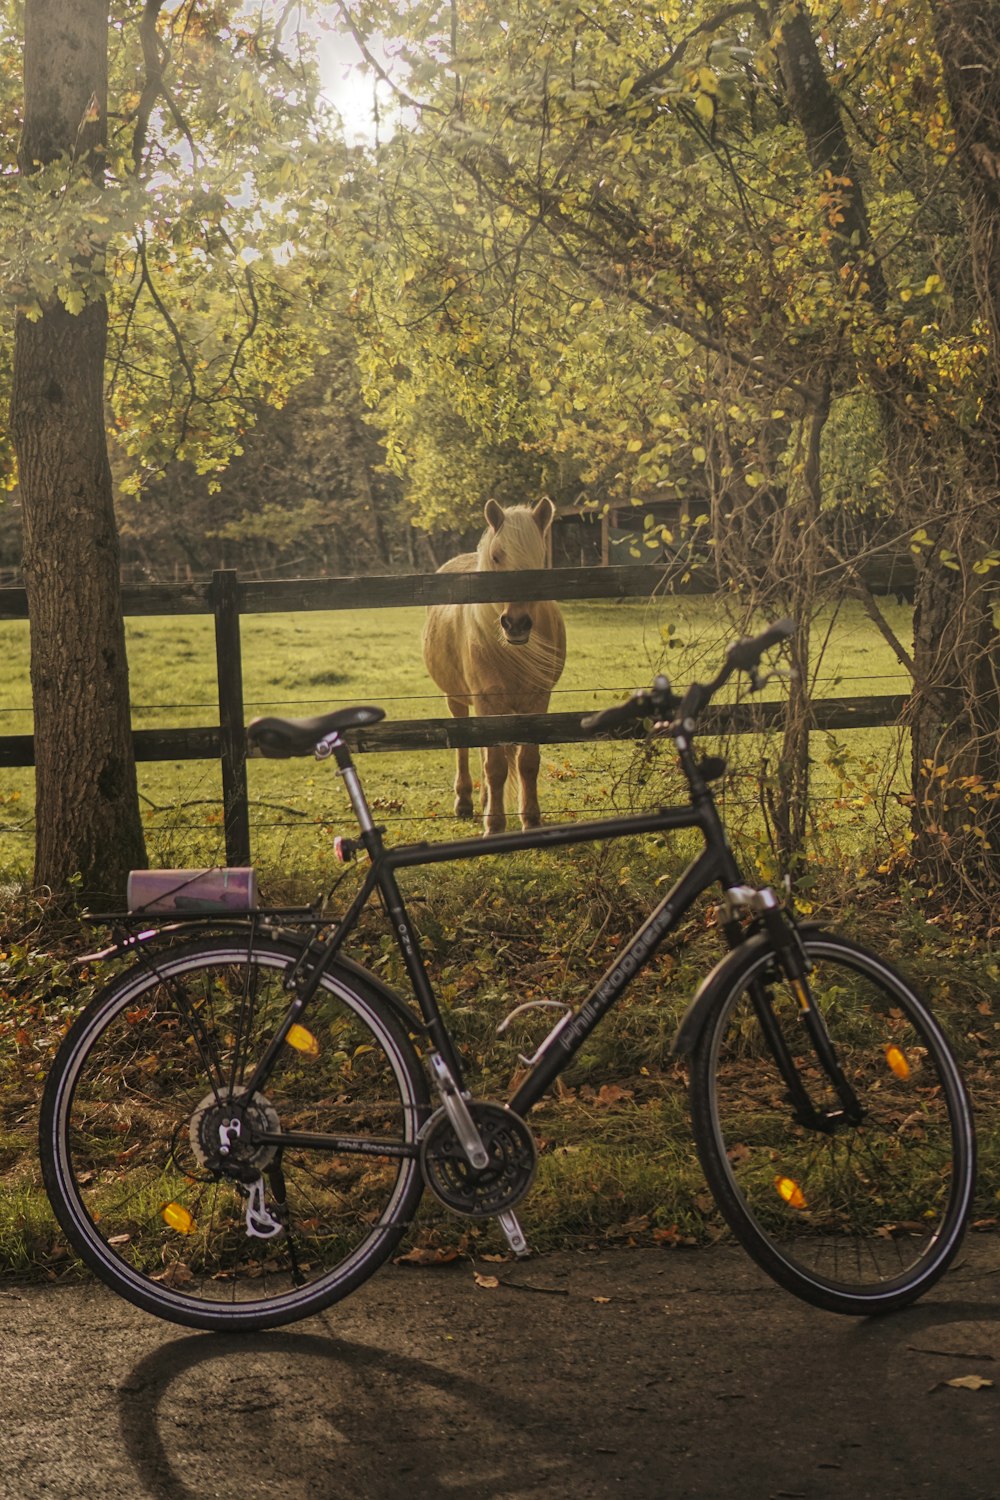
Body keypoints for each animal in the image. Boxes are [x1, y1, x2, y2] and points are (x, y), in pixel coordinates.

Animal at [422, 501, 566, 834]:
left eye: (539, 559)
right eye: (497, 556)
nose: (516, 623)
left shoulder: (537, 701)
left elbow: (527, 762)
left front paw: (531, 820)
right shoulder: (488, 702)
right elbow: (496, 766)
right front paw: (494, 825)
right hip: (458, 699)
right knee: (466, 748)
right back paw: (465, 802)